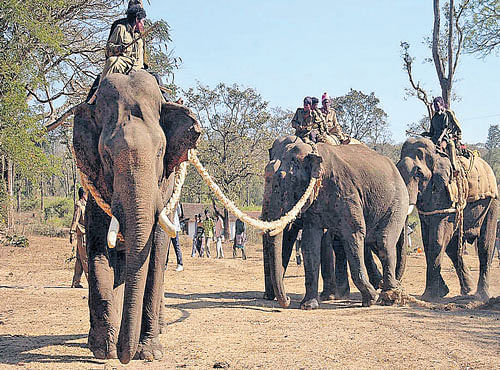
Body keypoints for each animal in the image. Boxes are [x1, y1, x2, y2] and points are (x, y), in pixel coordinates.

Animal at [73, 70, 201, 364]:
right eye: (107, 156)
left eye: (160, 152)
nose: (125, 355)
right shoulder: (94, 192)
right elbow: (98, 254)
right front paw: (103, 350)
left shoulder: (164, 190)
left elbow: (154, 257)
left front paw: (150, 353)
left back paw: (159, 328)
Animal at [262, 136, 410, 310]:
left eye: (289, 179)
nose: (287, 300)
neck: (313, 151)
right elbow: (310, 243)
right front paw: (308, 306)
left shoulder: (347, 191)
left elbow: (354, 234)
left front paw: (371, 299)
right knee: (373, 242)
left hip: (398, 201)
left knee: (383, 243)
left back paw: (390, 297)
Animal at [396, 137, 498, 302]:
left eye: (418, 173)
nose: (398, 290)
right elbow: (428, 241)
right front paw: (441, 292)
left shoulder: (446, 194)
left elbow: (437, 239)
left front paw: (430, 297)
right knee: (453, 247)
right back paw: (468, 290)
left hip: (491, 203)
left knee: (485, 244)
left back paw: (481, 296)